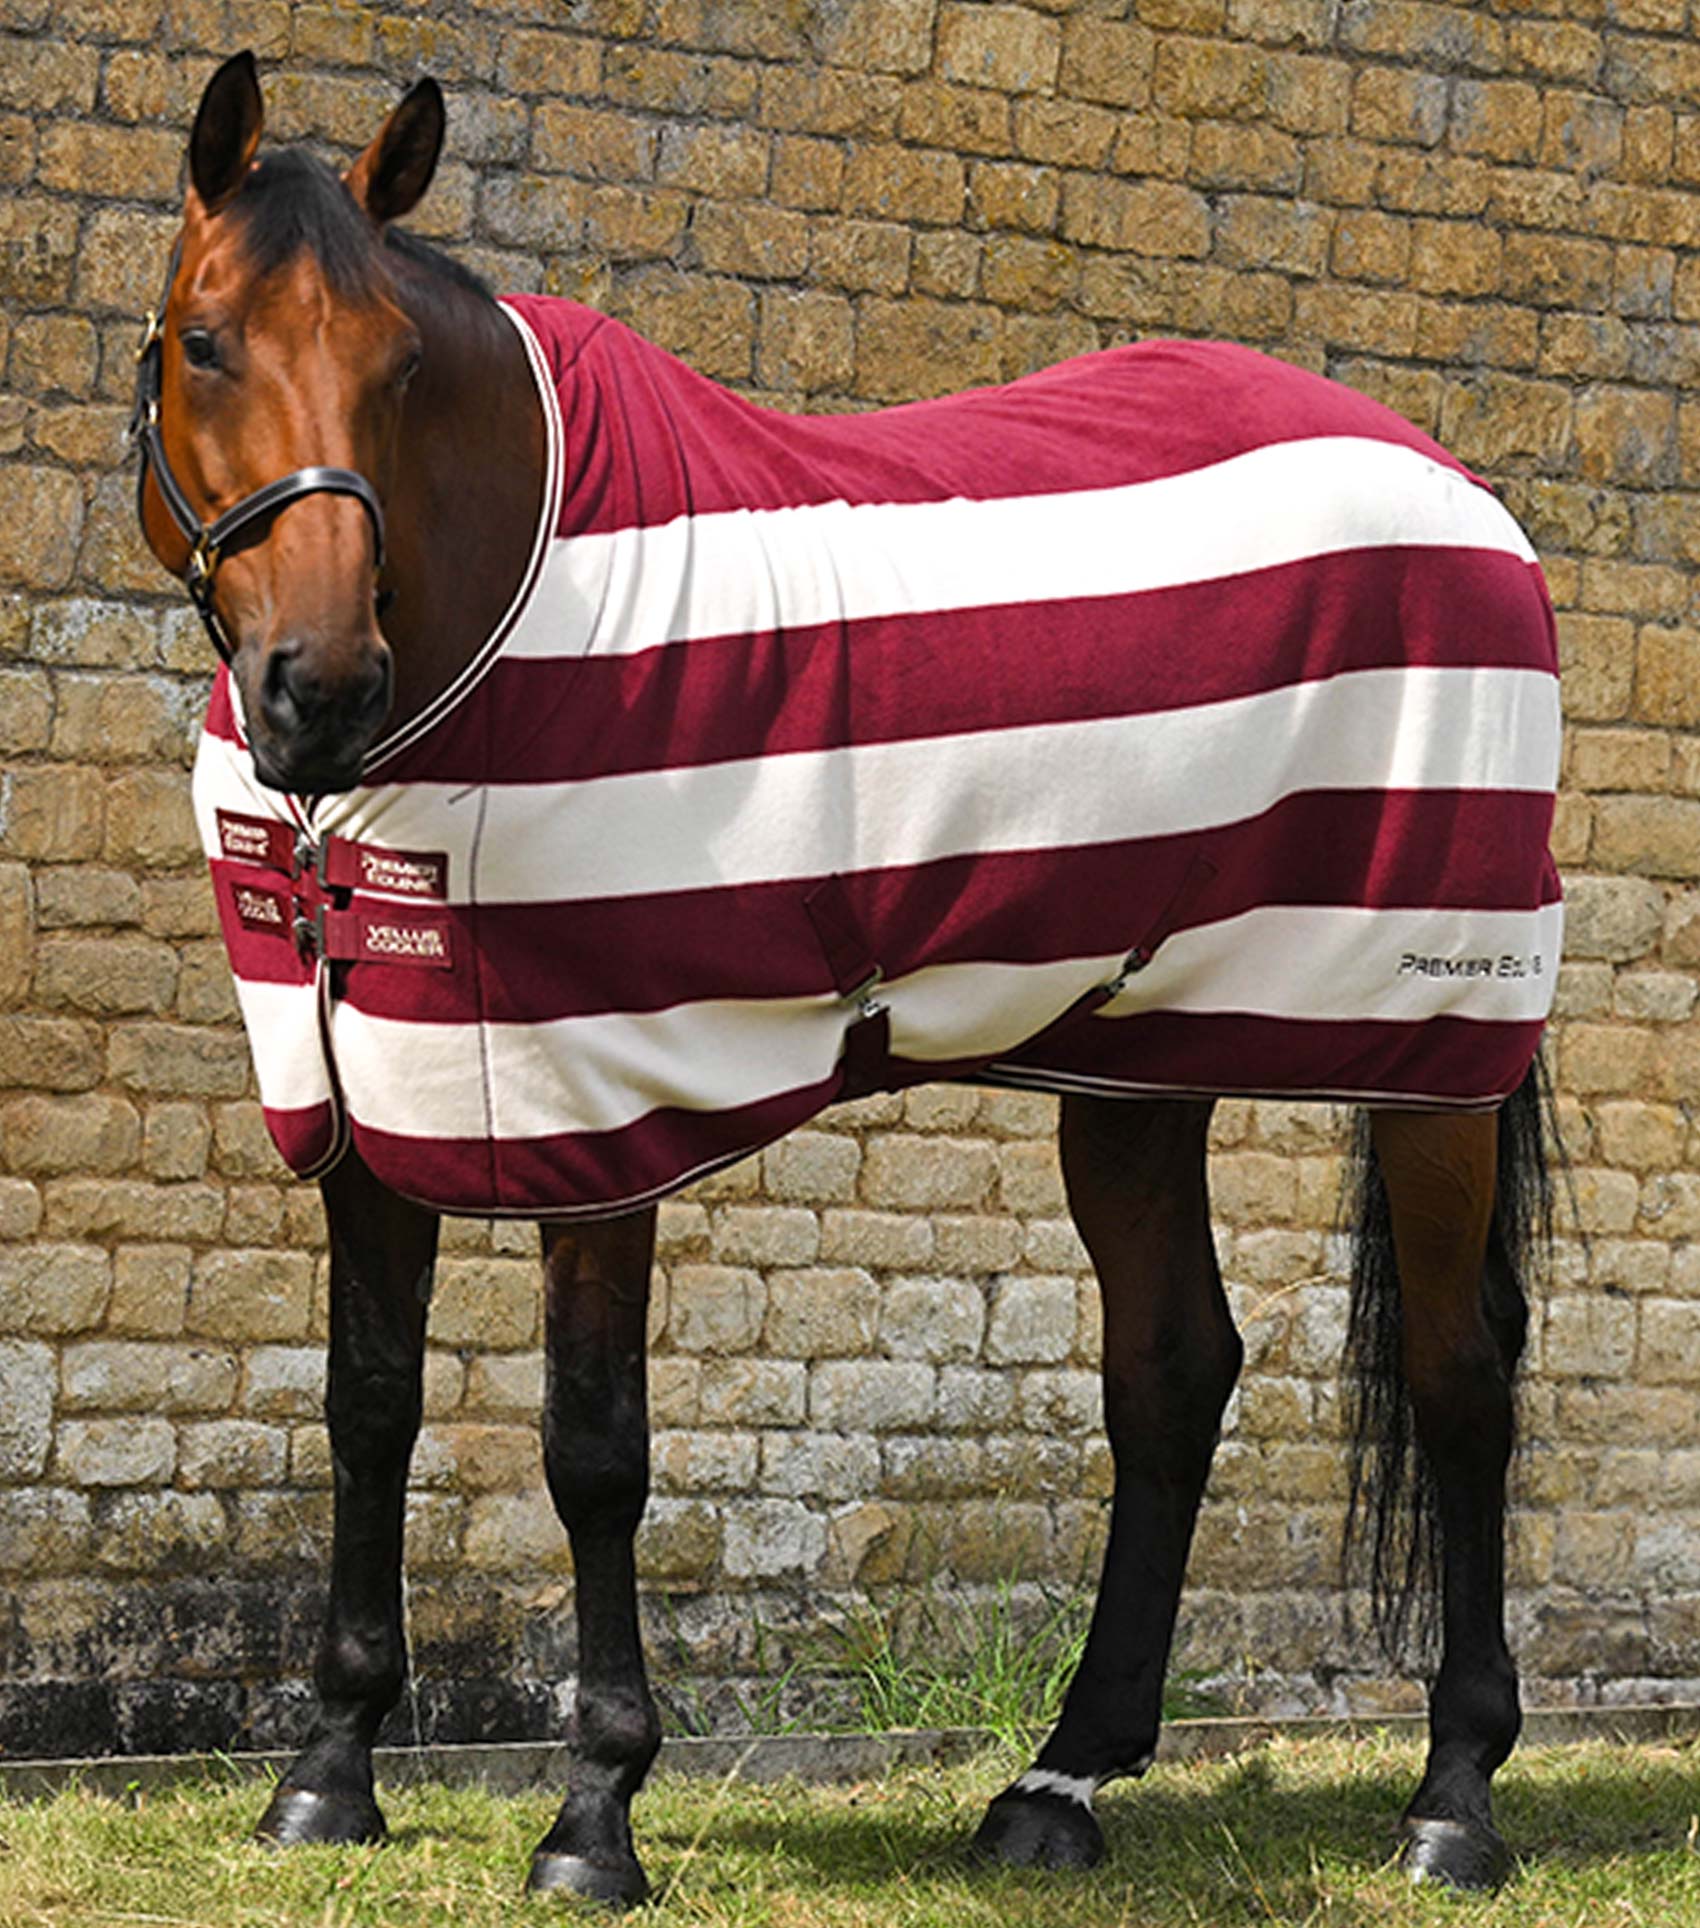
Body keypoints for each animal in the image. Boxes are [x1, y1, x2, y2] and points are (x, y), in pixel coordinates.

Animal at [132, 52, 1562, 1905]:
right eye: (205, 341)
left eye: (401, 368)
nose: (319, 689)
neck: (505, 614)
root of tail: (1460, 494)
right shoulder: (366, 1093)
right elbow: (366, 1405)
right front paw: (328, 1770)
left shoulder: (601, 1099)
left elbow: (593, 1449)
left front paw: (594, 1811)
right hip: (1136, 1051)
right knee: (1172, 1369)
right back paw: (1059, 1782)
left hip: (1426, 1043)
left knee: (1461, 1374)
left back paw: (1453, 1797)